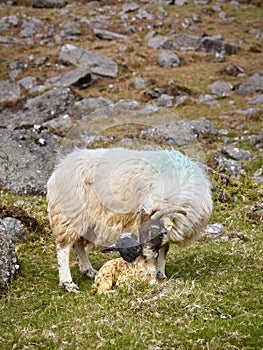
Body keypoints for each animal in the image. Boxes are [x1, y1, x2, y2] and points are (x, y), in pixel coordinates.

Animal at [47, 146, 212, 292]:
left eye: (154, 230)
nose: (145, 255)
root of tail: (60, 168)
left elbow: (164, 249)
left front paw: (161, 272)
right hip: (69, 213)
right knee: (63, 248)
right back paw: (68, 283)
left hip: (84, 220)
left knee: (78, 244)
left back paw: (89, 271)